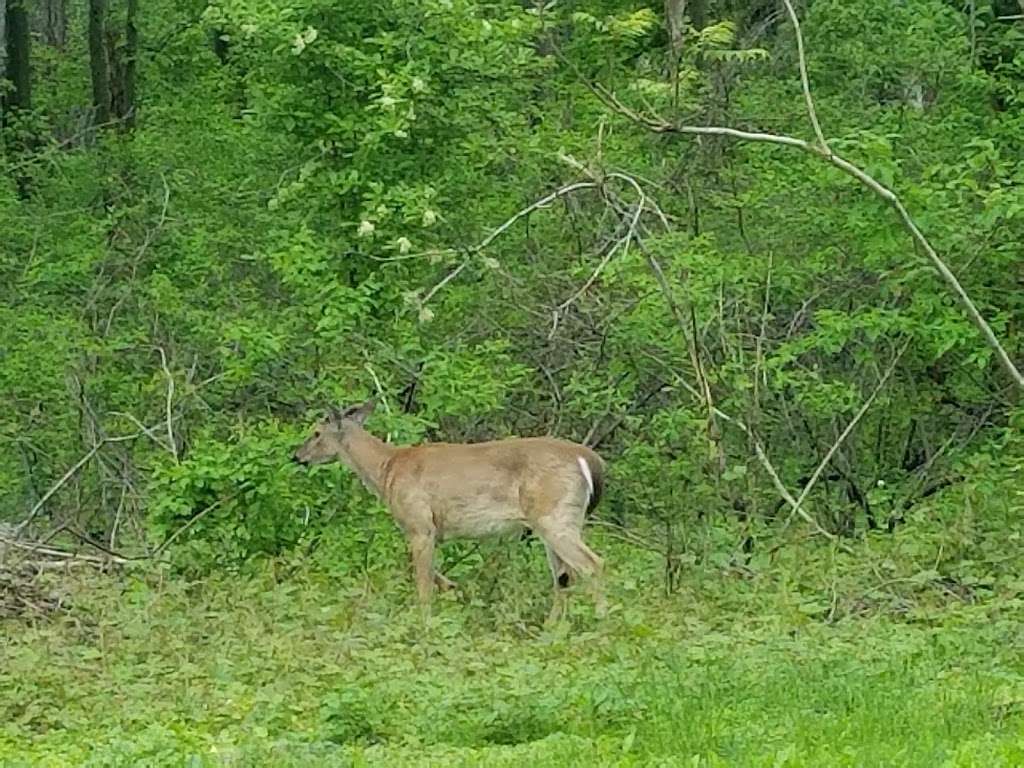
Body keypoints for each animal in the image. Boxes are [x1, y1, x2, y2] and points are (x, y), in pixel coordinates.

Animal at [290, 403, 606, 626]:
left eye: (316, 432)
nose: (297, 456)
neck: (387, 470)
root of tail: (589, 460)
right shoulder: (430, 531)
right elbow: (430, 573)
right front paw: (454, 591)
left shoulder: (419, 524)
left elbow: (422, 580)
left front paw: (425, 623)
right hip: (556, 522)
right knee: (564, 577)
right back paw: (552, 628)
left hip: (554, 516)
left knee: (592, 565)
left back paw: (602, 622)